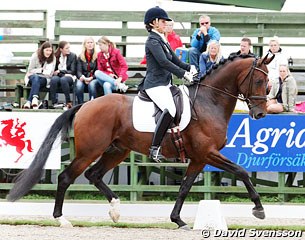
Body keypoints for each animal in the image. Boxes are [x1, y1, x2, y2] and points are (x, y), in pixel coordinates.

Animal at [8, 55, 272, 230]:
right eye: (259, 81)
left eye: (268, 83)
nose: (260, 114)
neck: (209, 101)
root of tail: (85, 104)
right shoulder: (208, 153)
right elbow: (241, 171)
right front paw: (259, 209)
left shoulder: (199, 158)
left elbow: (184, 187)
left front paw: (178, 220)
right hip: (89, 151)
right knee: (66, 177)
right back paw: (62, 219)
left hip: (117, 150)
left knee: (94, 175)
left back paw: (115, 210)